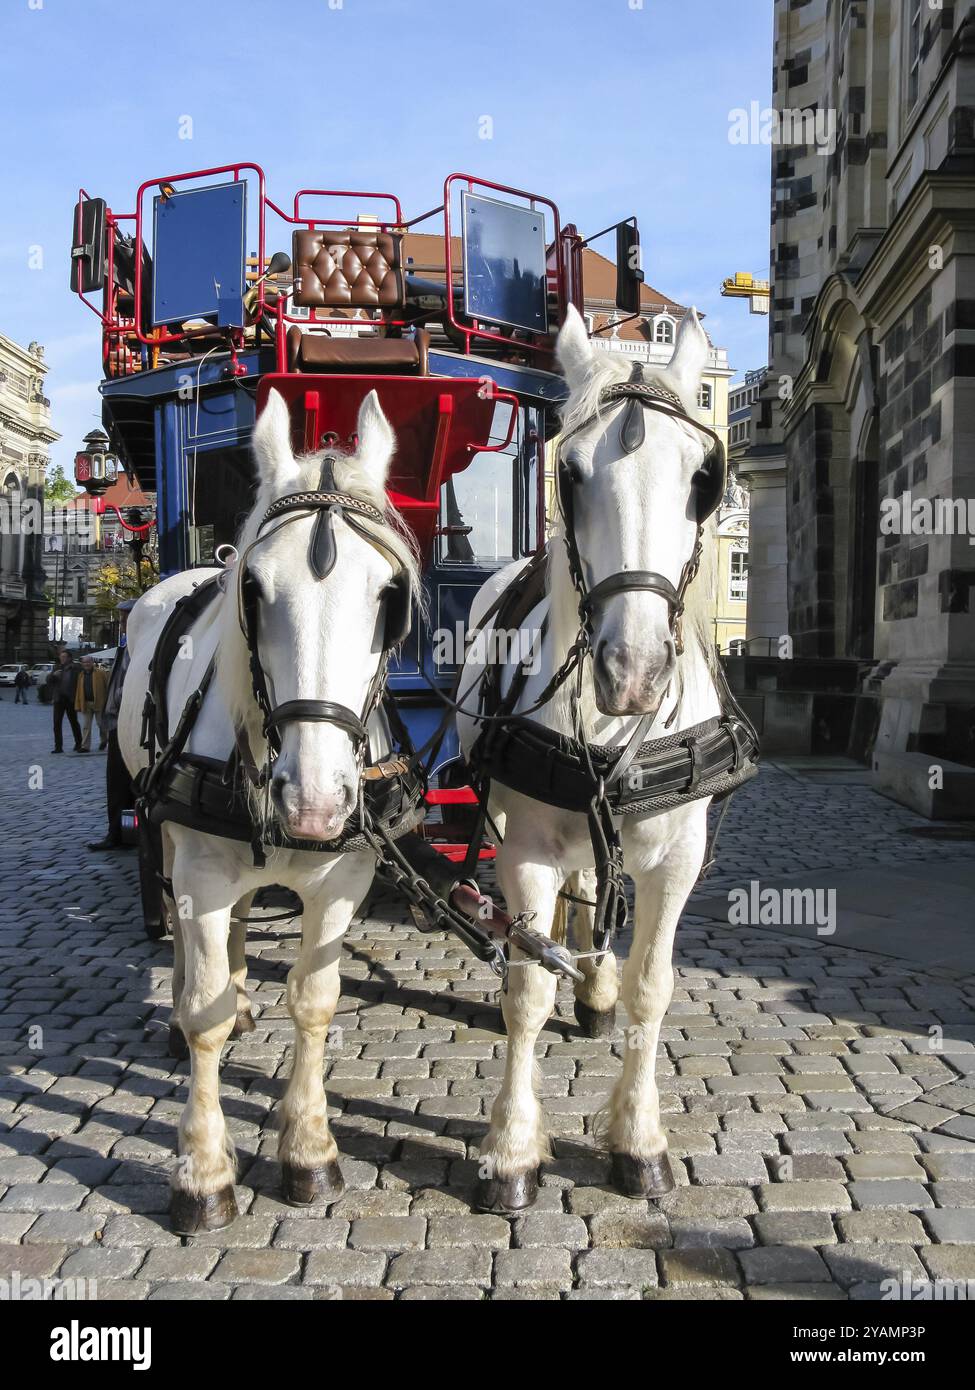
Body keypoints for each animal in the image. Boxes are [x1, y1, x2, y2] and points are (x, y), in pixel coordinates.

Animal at [116, 386, 420, 1234]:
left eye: (390, 598)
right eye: (252, 590)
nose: (312, 802)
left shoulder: (342, 880)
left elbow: (315, 1002)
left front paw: (308, 1150)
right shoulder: (199, 871)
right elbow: (204, 1012)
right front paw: (203, 1172)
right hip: (169, 842)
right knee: (185, 938)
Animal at [458, 301, 728, 1206]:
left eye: (702, 477)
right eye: (569, 473)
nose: (632, 673)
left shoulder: (678, 858)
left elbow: (653, 986)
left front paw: (637, 1141)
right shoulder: (525, 848)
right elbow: (526, 987)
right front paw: (512, 1149)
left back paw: (597, 987)